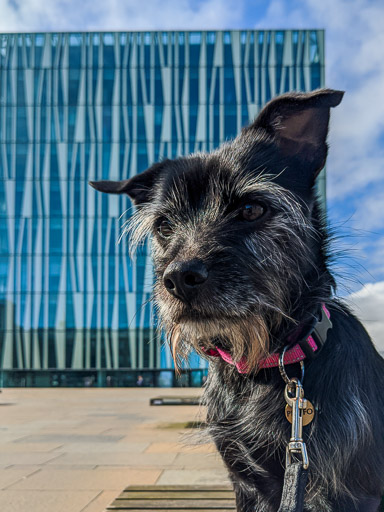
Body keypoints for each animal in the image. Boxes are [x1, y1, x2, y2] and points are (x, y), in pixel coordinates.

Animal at [89, 90, 384, 510]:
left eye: (251, 208)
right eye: (163, 225)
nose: (178, 278)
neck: (268, 368)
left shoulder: (346, 489)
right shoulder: (247, 480)